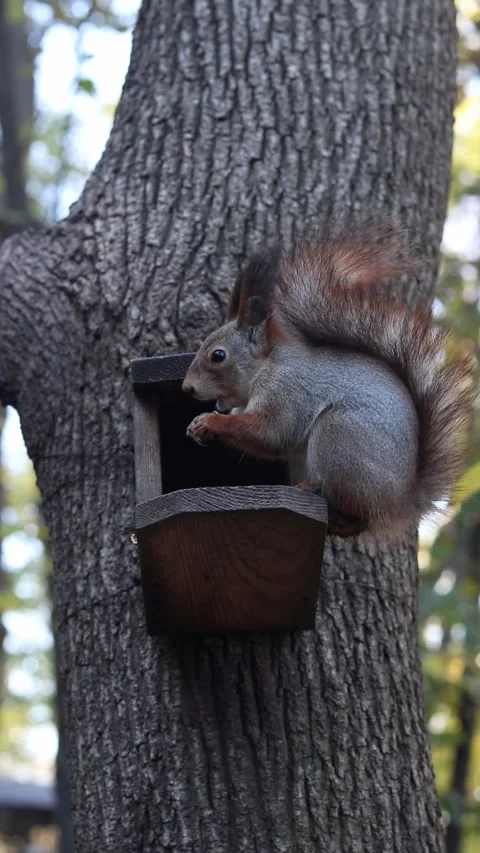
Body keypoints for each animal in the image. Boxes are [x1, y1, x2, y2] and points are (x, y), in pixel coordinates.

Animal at [182, 219, 476, 540]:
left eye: (218, 355)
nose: (187, 388)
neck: (266, 366)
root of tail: (402, 502)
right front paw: (198, 427)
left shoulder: (288, 389)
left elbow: (273, 433)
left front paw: (210, 422)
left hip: (340, 435)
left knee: (357, 512)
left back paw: (315, 491)